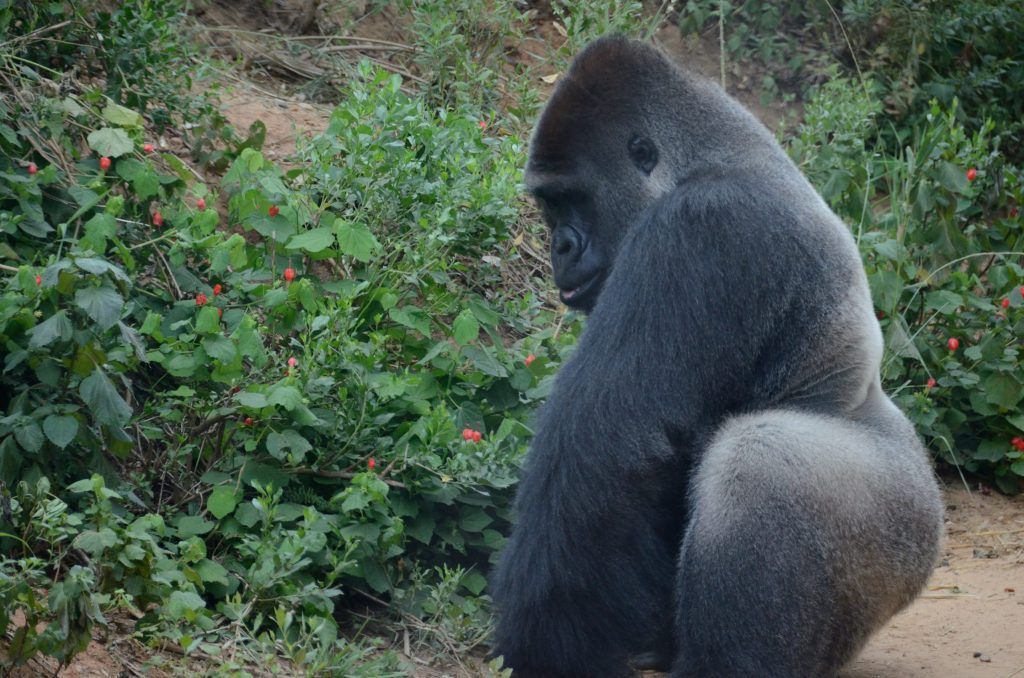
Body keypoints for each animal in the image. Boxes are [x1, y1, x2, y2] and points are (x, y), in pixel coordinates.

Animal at [487, 37, 942, 678]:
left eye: (571, 198)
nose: (560, 247)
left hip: (899, 538)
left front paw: (548, 640)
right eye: (549, 207)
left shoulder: (702, 225)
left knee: (761, 458)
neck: (712, 155)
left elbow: (606, 441)